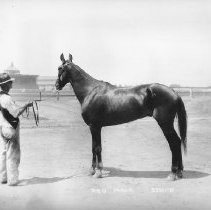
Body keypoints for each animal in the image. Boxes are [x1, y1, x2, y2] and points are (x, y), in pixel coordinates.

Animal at [55, 53, 187, 180]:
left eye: (60, 68)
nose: (56, 85)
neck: (90, 91)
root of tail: (174, 93)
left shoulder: (95, 126)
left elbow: (97, 148)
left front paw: (98, 172)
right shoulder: (95, 127)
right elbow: (93, 148)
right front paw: (92, 170)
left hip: (165, 124)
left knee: (174, 143)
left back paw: (173, 173)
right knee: (178, 141)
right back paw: (179, 172)